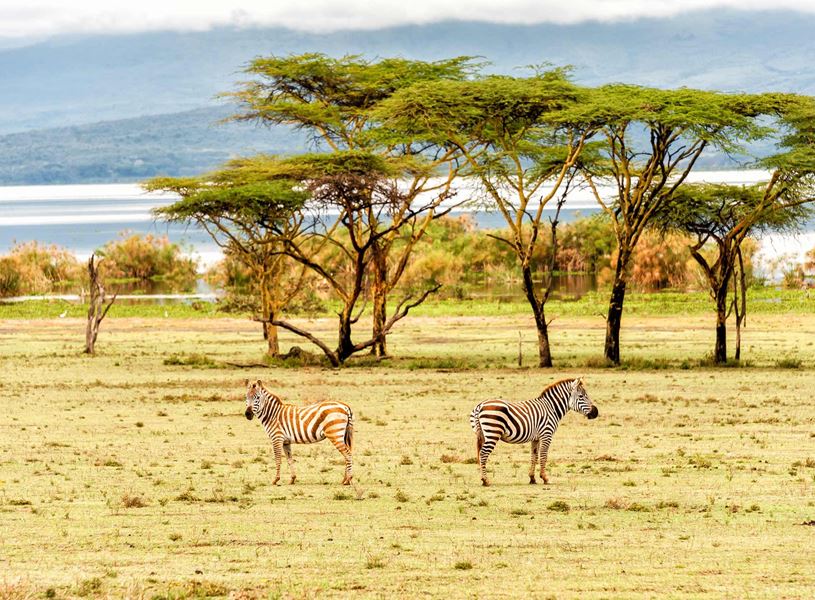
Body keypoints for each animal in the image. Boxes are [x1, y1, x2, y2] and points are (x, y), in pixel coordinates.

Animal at [469, 377, 598, 486]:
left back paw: (483, 479)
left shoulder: (535, 438)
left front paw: (532, 478)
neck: (551, 408)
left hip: (483, 434)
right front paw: (545, 478)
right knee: (483, 454)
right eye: (581, 396)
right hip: (492, 433)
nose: (595, 412)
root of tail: (480, 405)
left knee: (480, 453)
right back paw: (485, 480)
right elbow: (543, 456)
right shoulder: (546, 434)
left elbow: (534, 456)